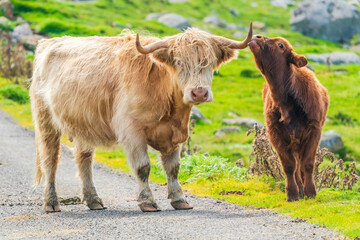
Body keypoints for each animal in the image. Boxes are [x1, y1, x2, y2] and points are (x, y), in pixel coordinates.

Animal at [248, 35, 330, 201]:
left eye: (281, 45)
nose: (257, 36)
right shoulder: (275, 133)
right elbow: (289, 165)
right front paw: (292, 193)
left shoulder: (314, 130)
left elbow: (308, 164)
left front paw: (311, 192)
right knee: (296, 165)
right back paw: (299, 189)